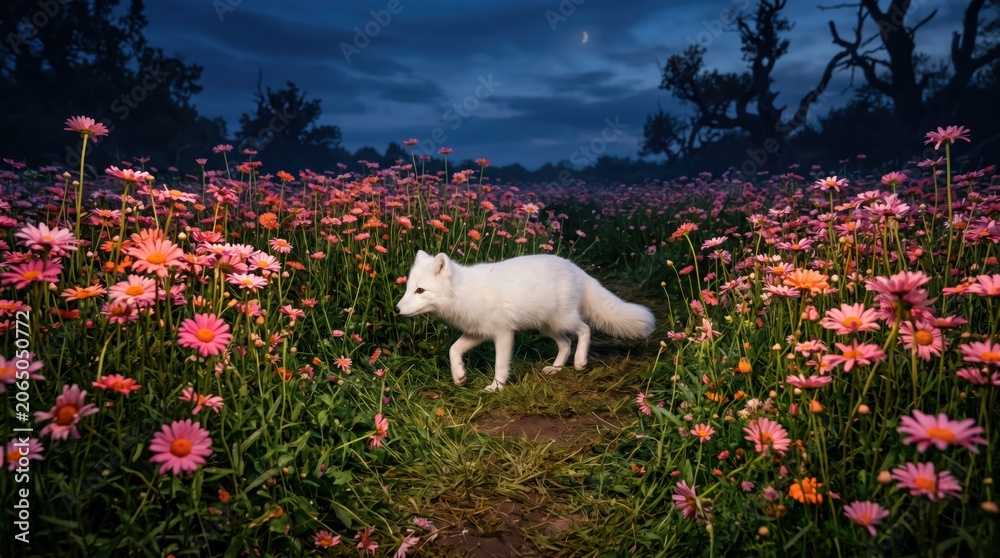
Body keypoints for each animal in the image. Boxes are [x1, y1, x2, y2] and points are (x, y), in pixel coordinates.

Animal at [395, 250, 656, 392]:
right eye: (409, 289)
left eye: (420, 290)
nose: (397, 309)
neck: (464, 292)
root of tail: (575, 267)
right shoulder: (478, 332)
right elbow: (453, 350)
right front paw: (459, 375)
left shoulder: (503, 333)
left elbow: (500, 365)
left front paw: (497, 387)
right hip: (548, 325)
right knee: (565, 343)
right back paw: (556, 368)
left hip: (563, 319)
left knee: (584, 330)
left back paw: (580, 362)